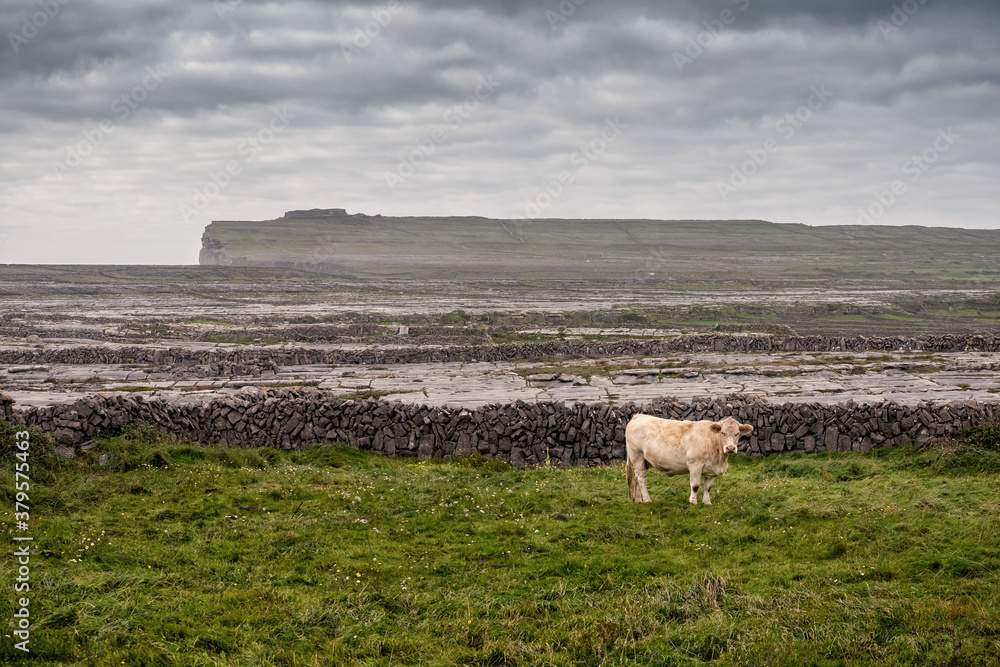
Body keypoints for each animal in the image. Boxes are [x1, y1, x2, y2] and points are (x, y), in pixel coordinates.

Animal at [624, 414, 752, 504]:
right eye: (723, 433)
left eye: (737, 433)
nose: (730, 448)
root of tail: (638, 416)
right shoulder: (695, 464)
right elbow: (695, 486)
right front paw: (693, 502)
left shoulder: (711, 470)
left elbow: (708, 487)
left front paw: (707, 502)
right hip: (637, 456)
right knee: (642, 478)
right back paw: (647, 499)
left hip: (642, 461)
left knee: (637, 478)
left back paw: (638, 499)